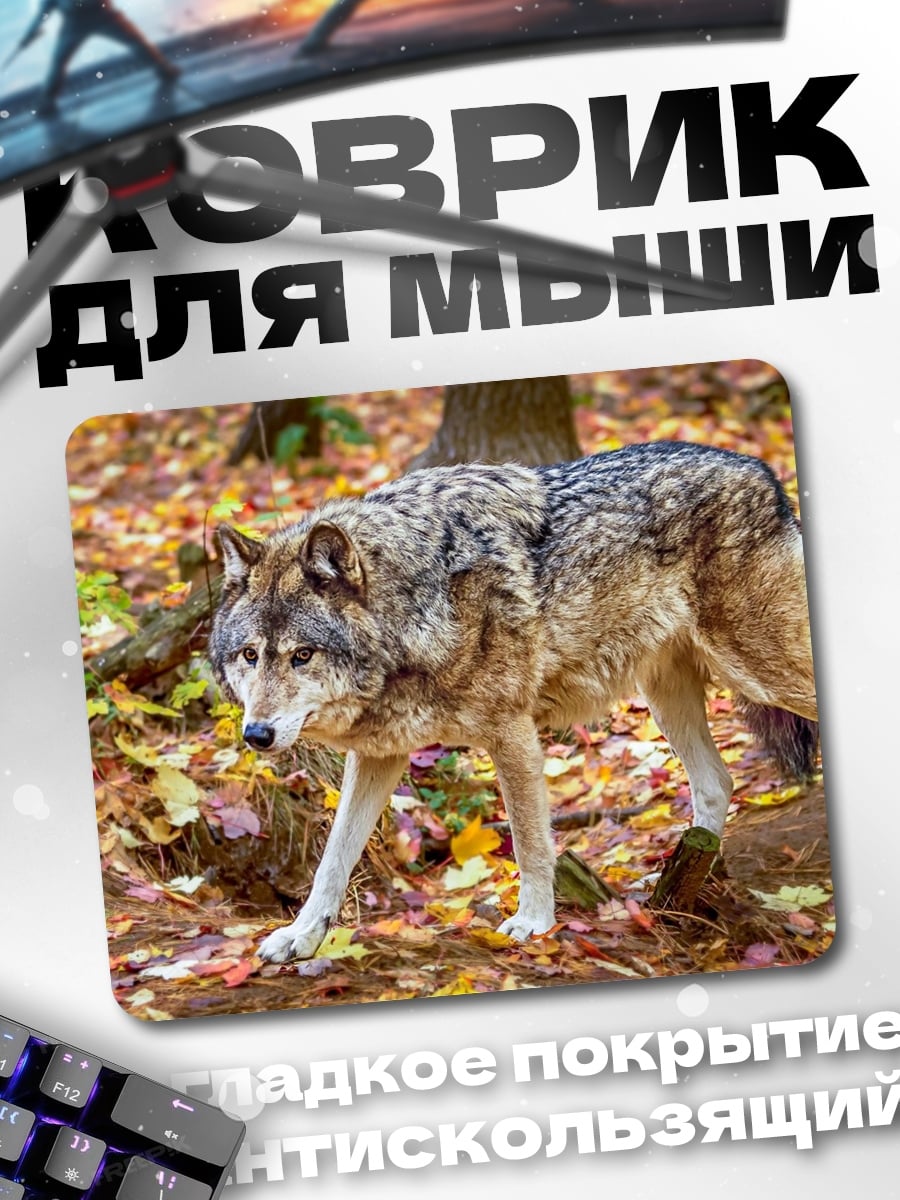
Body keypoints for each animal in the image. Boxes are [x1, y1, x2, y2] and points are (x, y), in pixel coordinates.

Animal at [209, 441, 818, 964]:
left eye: (302, 655)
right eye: (249, 655)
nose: (256, 735)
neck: (418, 606)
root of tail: (762, 471)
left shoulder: (513, 733)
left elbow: (529, 842)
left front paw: (534, 924)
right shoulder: (381, 754)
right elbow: (332, 859)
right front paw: (300, 937)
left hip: (760, 671)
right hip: (667, 696)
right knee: (717, 782)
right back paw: (677, 885)